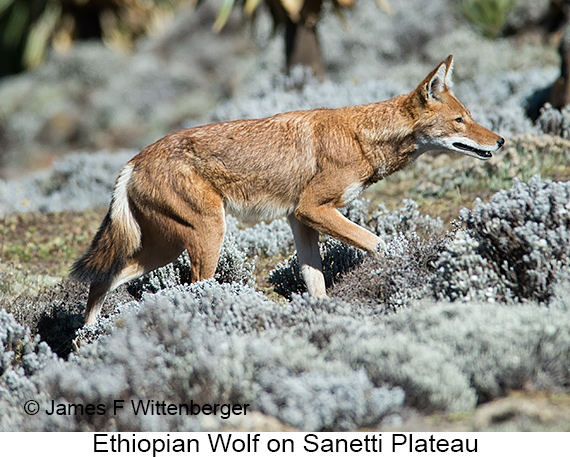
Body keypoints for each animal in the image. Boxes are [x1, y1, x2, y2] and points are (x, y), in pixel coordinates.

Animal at [71, 55, 502, 322]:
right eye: (461, 120)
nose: (498, 141)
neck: (360, 137)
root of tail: (133, 161)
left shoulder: (301, 220)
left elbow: (316, 282)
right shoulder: (314, 209)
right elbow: (378, 242)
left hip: (164, 249)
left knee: (100, 282)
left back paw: (85, 344)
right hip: (206, 238)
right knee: (188, 288)